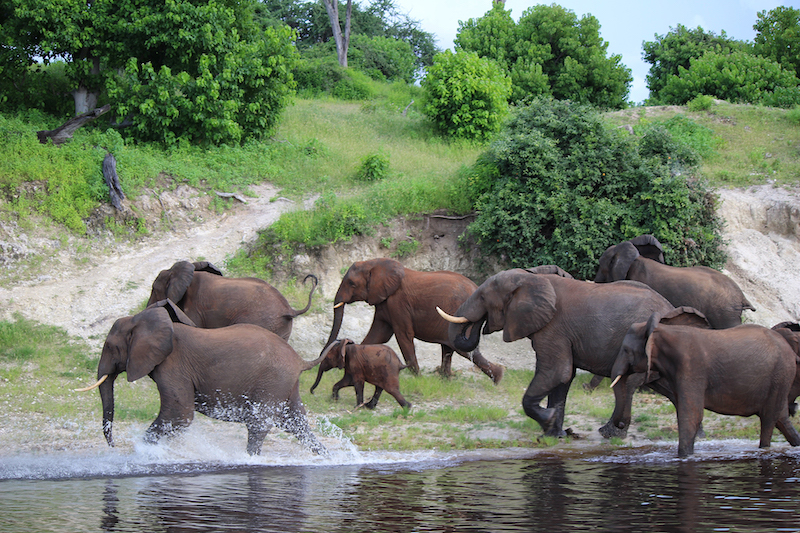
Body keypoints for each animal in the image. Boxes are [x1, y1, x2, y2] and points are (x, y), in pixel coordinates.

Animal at [322, 258, 504, 382]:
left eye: (352, 283)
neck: (374, 263)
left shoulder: (398, 303)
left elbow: (403, 336)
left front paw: (418, 378)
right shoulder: (384, 303)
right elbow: (377, 336)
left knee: (462, 348)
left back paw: (498, 377)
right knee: (448, 348)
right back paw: (446, 380)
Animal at [438, 268, 676, 438]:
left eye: (483, 298)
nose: (481, 322)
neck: (531, 278)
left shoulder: (554, 328)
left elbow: (556, 372)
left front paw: (549, 419)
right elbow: (564, 378)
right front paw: (555, 434)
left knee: (625, 386)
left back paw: (609, 434)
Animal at [612, 308, 800, 458]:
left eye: (626, 350)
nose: (620, 424)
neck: (660, 330)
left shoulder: (691, 368)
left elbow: (691, 415)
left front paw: (684, 457)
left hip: (781, 374)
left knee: (768, 420)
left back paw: (764, 449)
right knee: (780, 418)